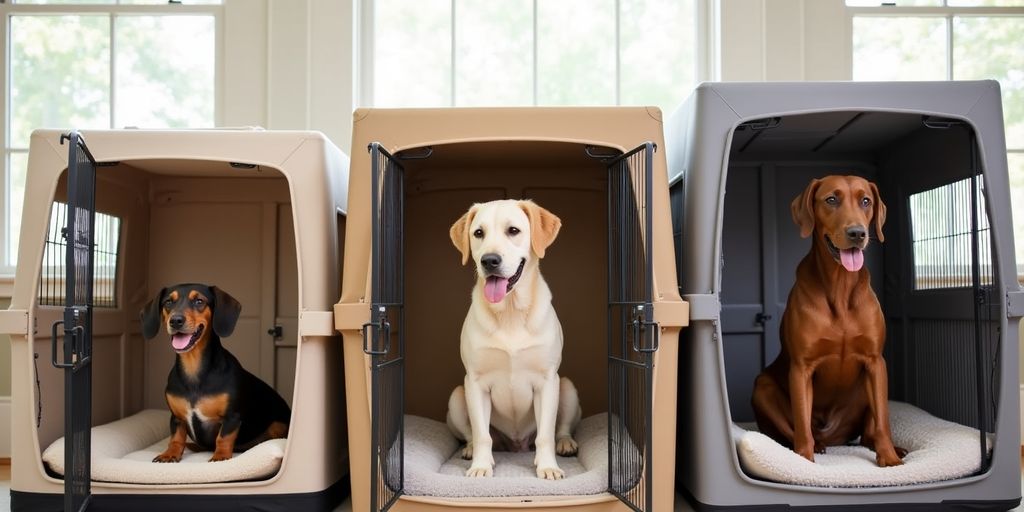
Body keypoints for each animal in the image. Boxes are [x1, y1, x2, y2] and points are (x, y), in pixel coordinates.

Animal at [140, 284, 292, 464]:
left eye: (199, 301)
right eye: (168, 302)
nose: (176, 321)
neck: (193, 367)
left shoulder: (232, 417)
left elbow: (223, 438)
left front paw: (220, 457)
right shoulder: (177, 418)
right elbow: (176, 438)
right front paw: (170, 453)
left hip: (278, 425)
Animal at [444, 198, 581, 479]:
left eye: (513, 231)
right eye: (478, 233)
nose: (489, 260)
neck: (509, 312)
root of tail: (517, 445)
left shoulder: (547, 381)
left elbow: (545, 434)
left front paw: (548, 466)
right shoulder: (475, 382)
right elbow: (482, 434)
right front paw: (481, 466)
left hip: (566, 387)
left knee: (560, 428)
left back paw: (565, 443)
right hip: (457, 396)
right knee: (473, 433)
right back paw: (470, 450)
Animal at [753, 176, 905, 468]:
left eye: (865, 201)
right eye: (831, 200)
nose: (857, 233)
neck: (840, 286)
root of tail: (835, 437)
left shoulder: (875, 362)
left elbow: (882, 420)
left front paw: (890, 459)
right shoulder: (801, 368)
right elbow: (801, 425)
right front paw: (804, 460)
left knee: (868, 433)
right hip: (762, 388)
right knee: (796, 430)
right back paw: (816, 445)